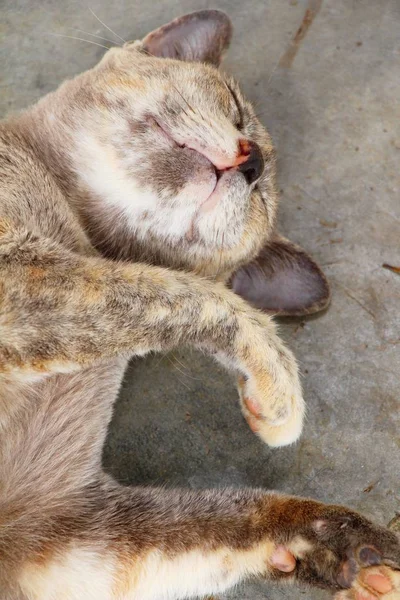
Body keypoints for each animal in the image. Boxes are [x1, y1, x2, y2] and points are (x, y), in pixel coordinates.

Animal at [0, 9, 400, 600]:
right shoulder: (19, 275)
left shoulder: (56, 526)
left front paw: (362, 553)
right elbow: (186, 296)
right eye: (234, 108)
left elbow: (226, 519)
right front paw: (279, 398)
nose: (251, 162)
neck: (77, 224)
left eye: (260, 199)